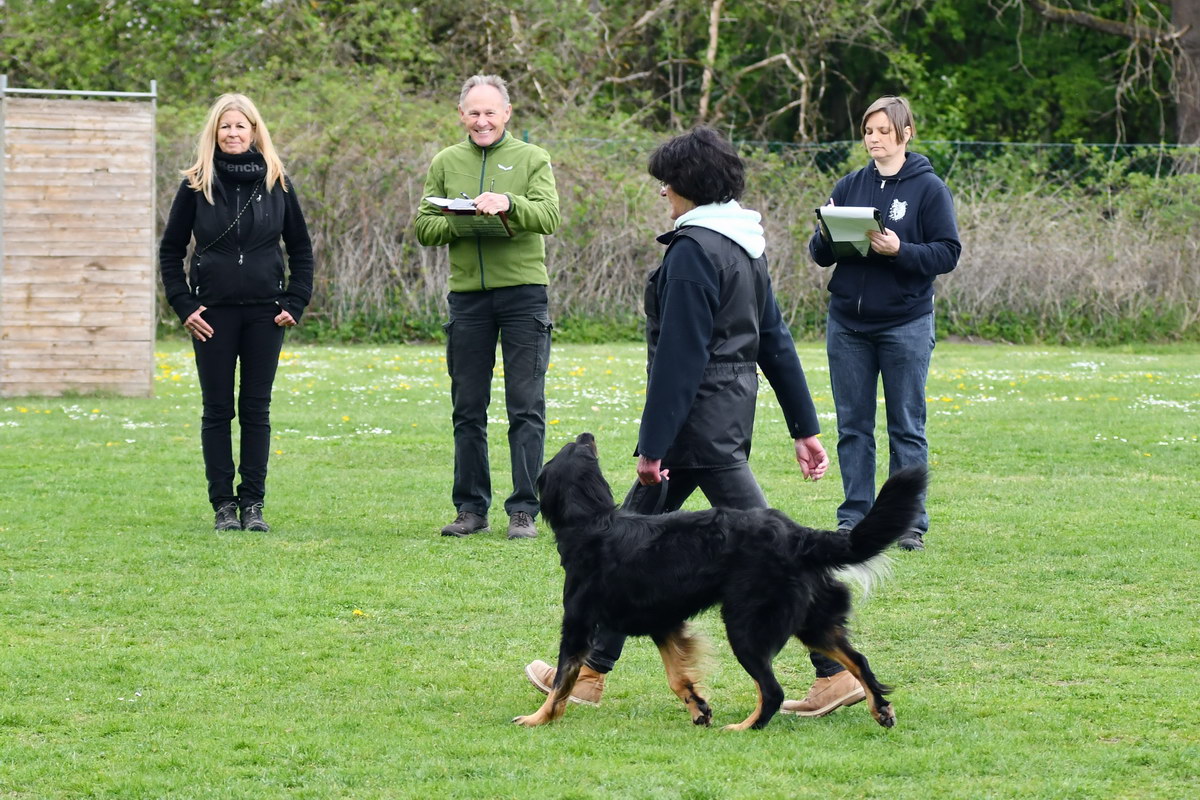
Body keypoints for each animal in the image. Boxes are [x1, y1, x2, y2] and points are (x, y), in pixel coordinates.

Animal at [516, 434, 926, 729]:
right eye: (581, 448)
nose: (586, 434)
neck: (593, 523)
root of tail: (799, 534)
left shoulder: (578, 624)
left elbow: (562, 680)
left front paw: (538, 718)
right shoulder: (663, 623)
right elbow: (677, 676)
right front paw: (699, 710)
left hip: (746, 626)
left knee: (773, 691)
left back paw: (745, 727)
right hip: (813, 622)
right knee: (858, 660)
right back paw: (880, 709)